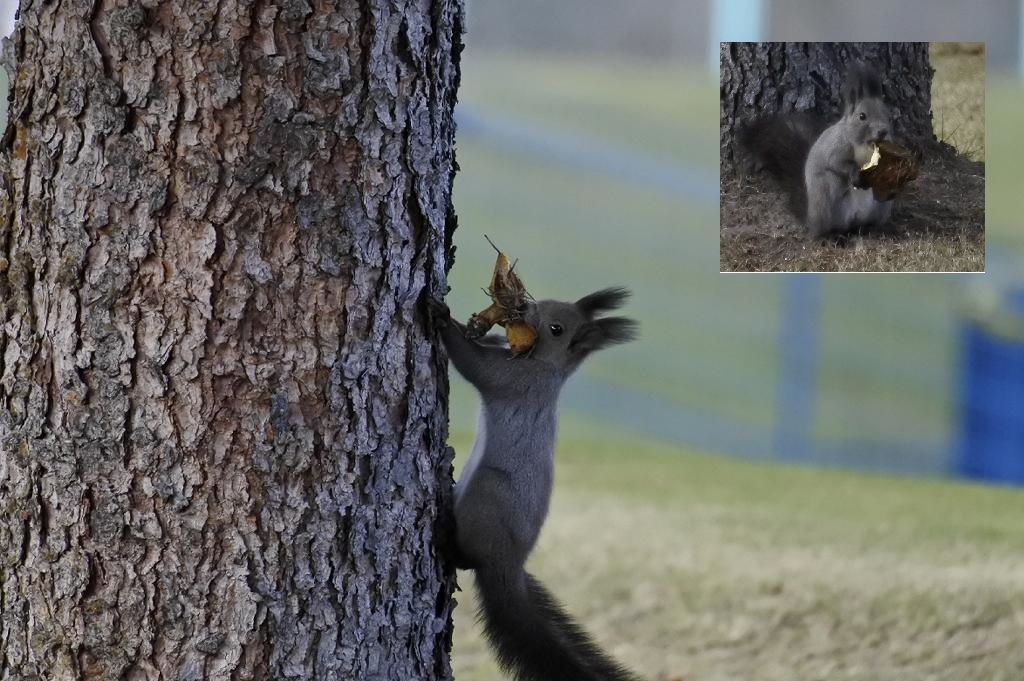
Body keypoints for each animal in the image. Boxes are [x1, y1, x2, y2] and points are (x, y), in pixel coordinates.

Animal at [430, 288, 638, 679]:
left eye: (557, 329)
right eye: (547, 301)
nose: (524, 307)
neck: (543, 364)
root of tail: (507, 565)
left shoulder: (515, 379)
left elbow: (474, 365)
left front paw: (440, 315)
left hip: (487, 495)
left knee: (466, 559)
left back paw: (448, 540)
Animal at [741, 65, 892, 237]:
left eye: (888, 116)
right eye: (862, 116)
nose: (883, 131)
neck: (865, 146)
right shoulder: (835, 146)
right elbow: (837, 163)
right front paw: (855, 173)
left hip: (881, 205)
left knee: (867, 223)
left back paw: (873, 228)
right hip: (825, 195)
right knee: (824, 230)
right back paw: (833, 236)